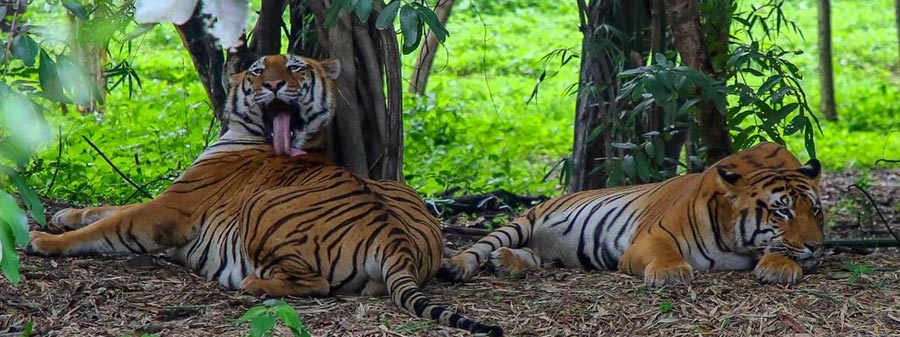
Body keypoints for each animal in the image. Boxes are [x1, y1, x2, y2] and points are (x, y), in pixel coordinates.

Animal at [28, 53, 502, 334]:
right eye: (258, 71)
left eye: (295, 68)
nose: (272, 85)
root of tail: (395, 238)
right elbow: (111, 207)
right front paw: (66, 215)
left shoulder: (170, 209)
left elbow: (113, 223)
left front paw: (44, 240)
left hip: (261, 209)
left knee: (316, 284)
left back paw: (254, 283)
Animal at [440, 143, 828, 288]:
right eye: (782, 211)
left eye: (815, 210)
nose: (816, 246)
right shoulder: (651, 237)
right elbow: (664, 254)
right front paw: (671, 273)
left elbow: (779, 254)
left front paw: (779, 267)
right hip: (522, 221)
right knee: (479, 247)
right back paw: (457, 266)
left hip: (548, 252)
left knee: (535, 257)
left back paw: (505, 261)